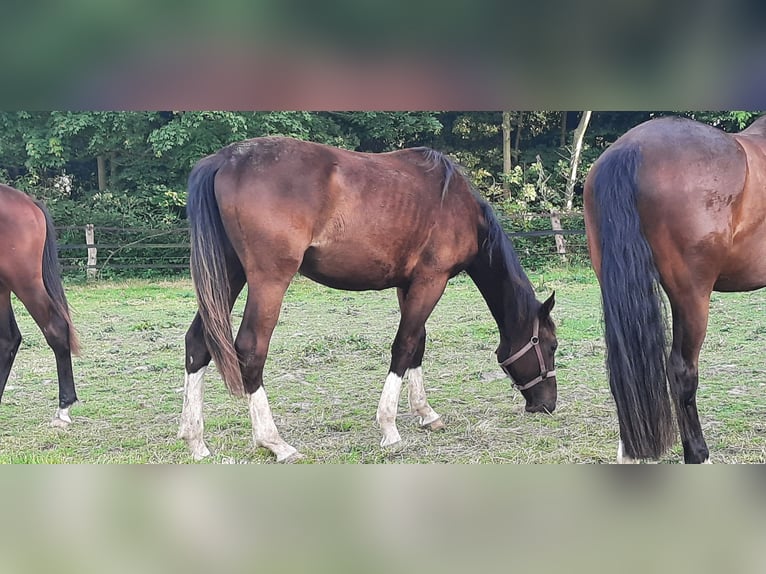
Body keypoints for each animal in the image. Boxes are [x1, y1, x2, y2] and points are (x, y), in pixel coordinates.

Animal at [180, 136, 560, 464]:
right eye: (551, 345)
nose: (548, 404)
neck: (458, 206)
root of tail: (224, 159)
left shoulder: (409, 285)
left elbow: (417, 344)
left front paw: (426, 414)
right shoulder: (431, 281)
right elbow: (404, 346)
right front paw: (389, 428)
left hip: (228, 274)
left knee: (198, 343)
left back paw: (196, 441)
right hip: (268, 280)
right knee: (250, 350)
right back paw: (275, 443)